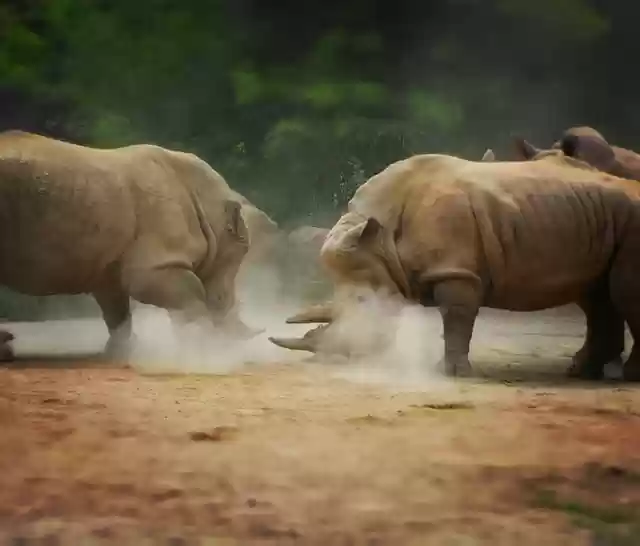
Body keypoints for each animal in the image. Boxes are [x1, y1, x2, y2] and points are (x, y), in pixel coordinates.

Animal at [0, 130, 258, 361]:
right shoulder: (157, 265)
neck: (208, 207)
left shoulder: (108, 267)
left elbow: (117, 309)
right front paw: (203, 349)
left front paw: (123, 352)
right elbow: (189, 294)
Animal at [269, 151, 640, 381]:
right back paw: (580, 372)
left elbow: (457, 319)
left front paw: (451, 373)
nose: (335, 358)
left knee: (622, 295)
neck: (382, 241)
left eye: (363, 302)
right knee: (596, 296)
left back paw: (626, 376)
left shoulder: (455, 271)